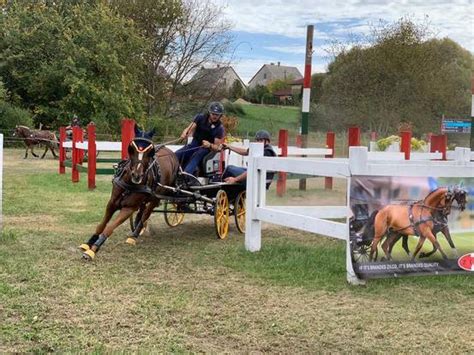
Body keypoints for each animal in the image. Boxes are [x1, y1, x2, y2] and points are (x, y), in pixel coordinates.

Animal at [79, 126, 180, 260]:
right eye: (131, 148)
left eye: (150, 151)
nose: (137, 175)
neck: (130, 184)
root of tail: (171, 153)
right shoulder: (112, 203)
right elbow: (102, 224)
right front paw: (89, 243)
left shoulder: (129, 208)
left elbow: (109, 228)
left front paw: (93, 250)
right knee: (142, 212)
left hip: (156, 198)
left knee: (146, 214)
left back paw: (134, 235)